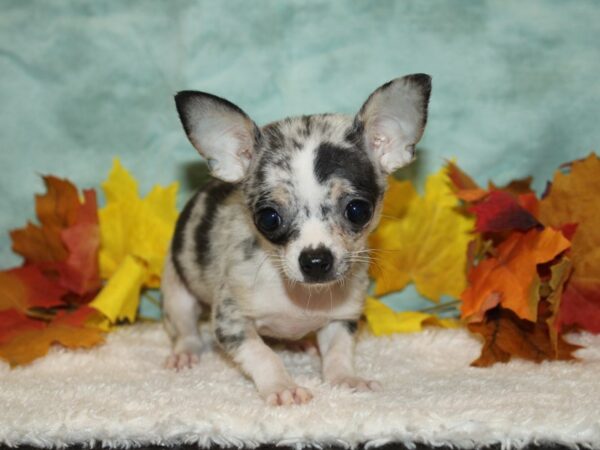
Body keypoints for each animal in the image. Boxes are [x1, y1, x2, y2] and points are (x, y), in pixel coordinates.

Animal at [161, 74, 432, 404]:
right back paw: (185, 352)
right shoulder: (231, 322)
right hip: (177, 292)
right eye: (268, 218)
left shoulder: (341, 319)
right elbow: (263, 356)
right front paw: (282, 386)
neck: (302, 297)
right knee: (185, 329)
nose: (315, 260)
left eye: (358, 211)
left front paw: (346, 378)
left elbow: (339, 353)